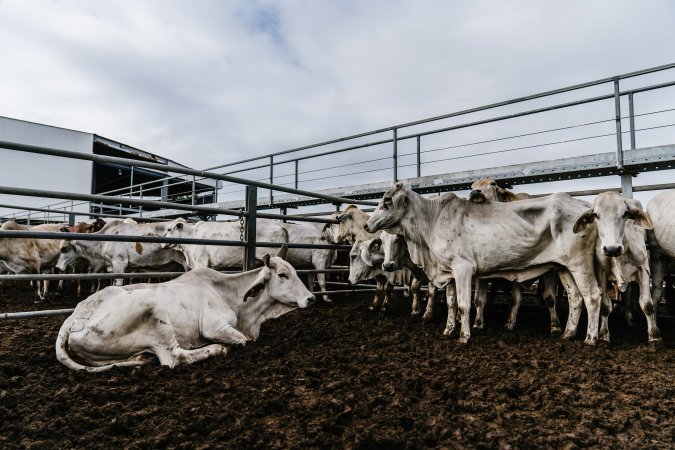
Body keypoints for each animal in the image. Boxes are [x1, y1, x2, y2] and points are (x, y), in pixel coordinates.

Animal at [54, 248, 314, 370]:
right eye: (283, 275)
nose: (311, 299)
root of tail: (73, 318)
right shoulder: (214, 327)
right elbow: (243, 341)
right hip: (151, 308)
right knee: (174, 357)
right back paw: (216, 349)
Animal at [364, 183, 604, 344]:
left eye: (387, 201)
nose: (366, 225)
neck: (431, 221)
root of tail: (584, 205)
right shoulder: (449, 272)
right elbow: (451, 303)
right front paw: (448, 330)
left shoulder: (463, 269)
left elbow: (464, 304)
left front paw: (464, 336)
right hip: (564, 268)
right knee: (576, 297)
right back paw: (568, 333)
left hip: (580, 264)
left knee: (592, 296)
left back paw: (590, 338)